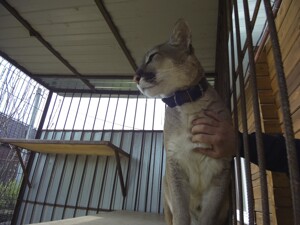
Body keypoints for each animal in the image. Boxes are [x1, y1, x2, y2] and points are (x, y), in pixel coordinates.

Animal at [134, 19, 232, 225]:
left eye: (152, 56)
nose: (135, 76)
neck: (187, 102)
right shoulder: (175, 165)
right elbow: (181, 213)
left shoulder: (221, 169)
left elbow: (208, 217)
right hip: (166, 187)